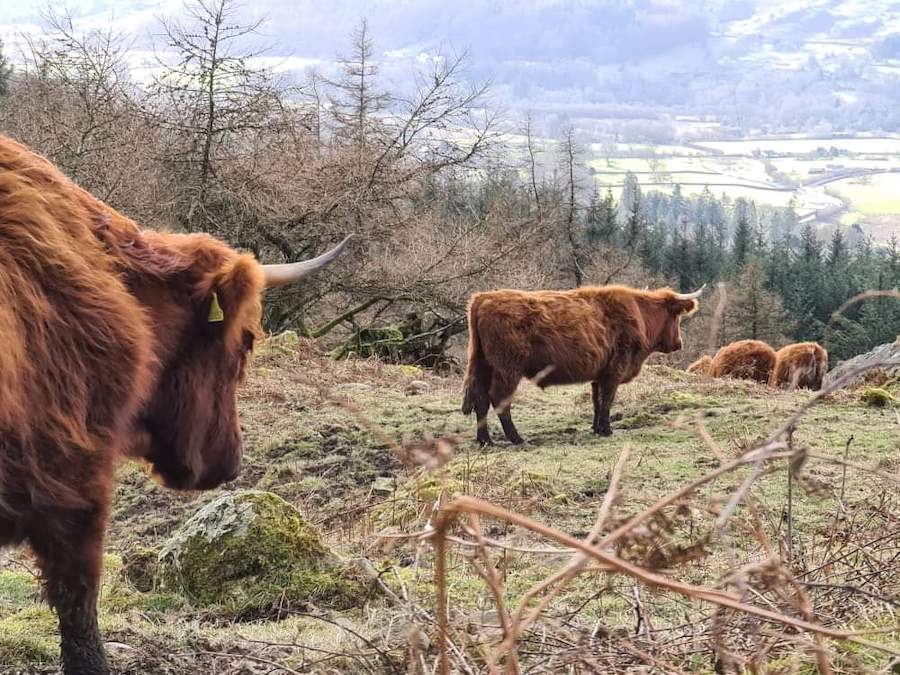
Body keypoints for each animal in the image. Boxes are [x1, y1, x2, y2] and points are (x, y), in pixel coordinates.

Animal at [461, 284, 704, 445]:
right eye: (676, 318)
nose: (679, 344)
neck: (640, 316)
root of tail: (484, 297)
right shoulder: (615, 371)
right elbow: (608, 400)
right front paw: (606, 430)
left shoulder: (599, 373)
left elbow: (597, 401)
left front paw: (596, 428)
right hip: (507, 368)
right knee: (499, 398)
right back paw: (516, 438)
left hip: (483, 364)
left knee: (480, 399)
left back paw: (484, 440)